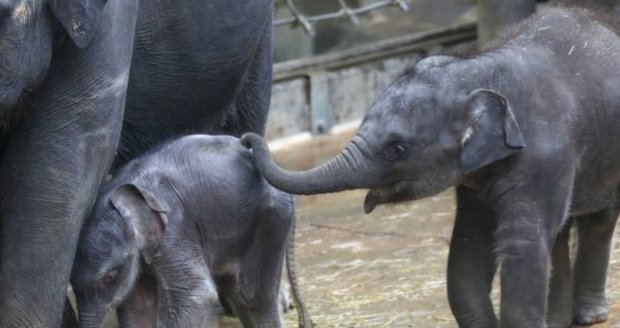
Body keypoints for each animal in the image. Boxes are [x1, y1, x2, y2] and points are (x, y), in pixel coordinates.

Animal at [69, 135, 310, 326]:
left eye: (109, 277)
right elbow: (137, 306)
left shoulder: (174, 228)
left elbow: (196, 295)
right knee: (235, 290)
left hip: (271, 219)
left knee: (252, 296)